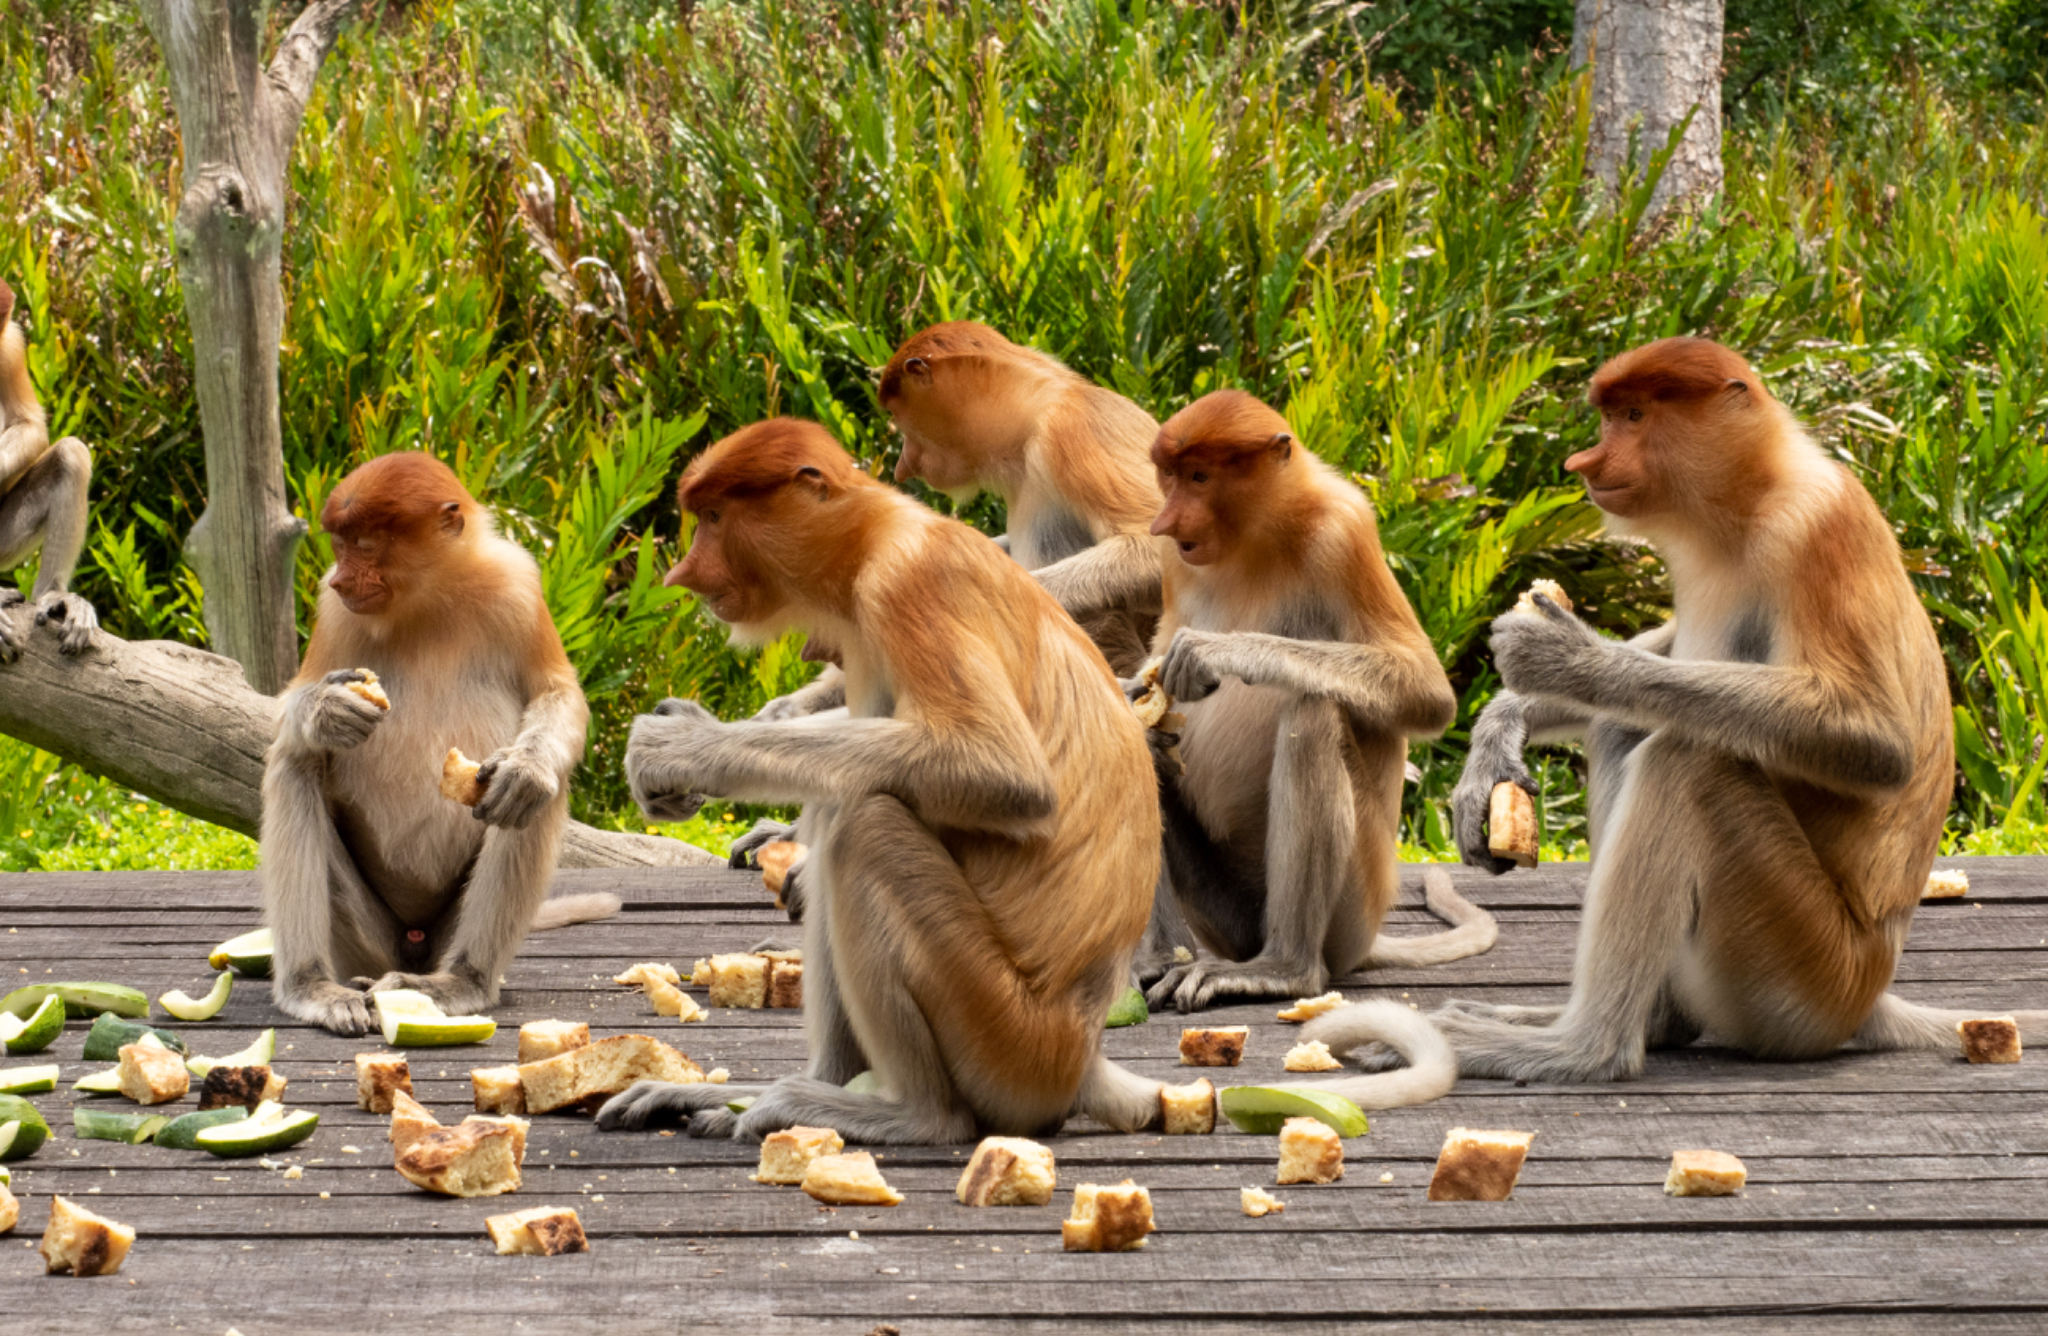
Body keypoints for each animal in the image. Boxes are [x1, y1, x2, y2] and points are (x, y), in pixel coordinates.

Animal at [260, 452, 613, 1036]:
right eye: (339, 544)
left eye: (366, 543)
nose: (343, 577)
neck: (426, 599)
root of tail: (413, 946)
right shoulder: (333, 610)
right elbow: (290, 702)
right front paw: (328, 710)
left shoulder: (518, 587)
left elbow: (557, 692)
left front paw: (526, 770)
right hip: (365, 936)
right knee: (294, 766)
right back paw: (311, 987)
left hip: (444, 928)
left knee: (540, 797)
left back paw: (459, 981)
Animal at [1135, 390, 1497, 1012]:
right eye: (1170, 477)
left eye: (1200, 476)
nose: (1165, 522)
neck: (1254, 537)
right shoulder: (1175, 562)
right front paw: (1137, 693)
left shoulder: (1344, 532)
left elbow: (1426, 692)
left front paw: (1216, 652)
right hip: (1228, 917)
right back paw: (1165, 960)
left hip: (1353, 909)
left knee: (1312, 709)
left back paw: (1284, 970)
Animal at [1327, 335, 2048, 1084]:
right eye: (1610, 416)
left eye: (1635, 416)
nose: (1583, 463)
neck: (1746, 501)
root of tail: (1866, 997)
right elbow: (1666, 655)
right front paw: (1498, 736)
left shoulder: (1815, 527)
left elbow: (1876, 740)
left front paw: (1561, 656)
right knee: (1624, 726)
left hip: (1797, 971)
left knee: (1687, 760)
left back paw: (1577, 1048)